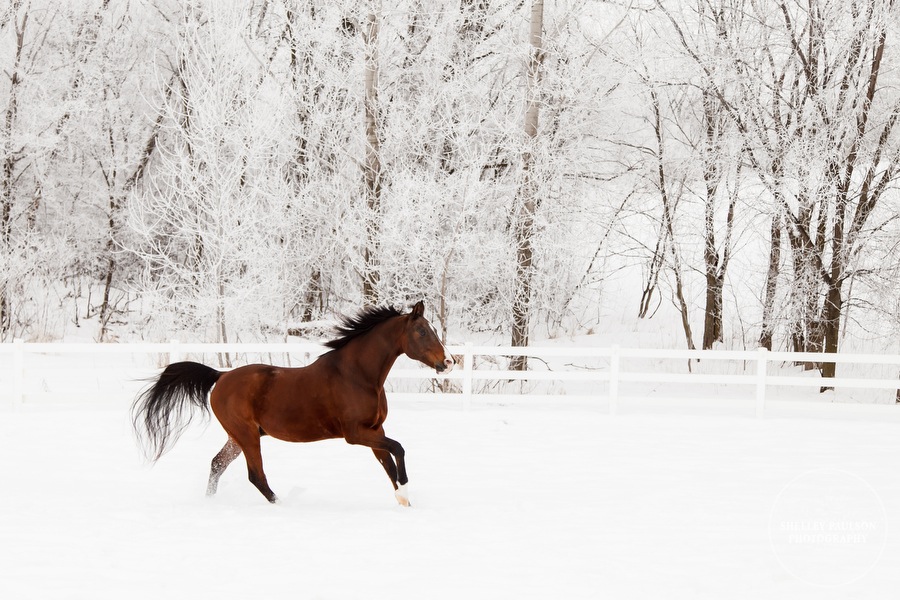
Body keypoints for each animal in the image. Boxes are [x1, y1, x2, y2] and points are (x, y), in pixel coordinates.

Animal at [130, 300, 454, 506]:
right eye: (422, 331)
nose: (448, 362)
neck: (357, 375)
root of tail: (220, 377)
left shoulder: (375, 430)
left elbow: (388, 464)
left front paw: (404, 501)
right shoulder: (355, 434)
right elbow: (398, 449)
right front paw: (406, 492)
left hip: (237, 436)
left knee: (217, 465)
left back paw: (210, 503)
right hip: (247, 435)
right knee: (256, 476)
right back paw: (282, 504)